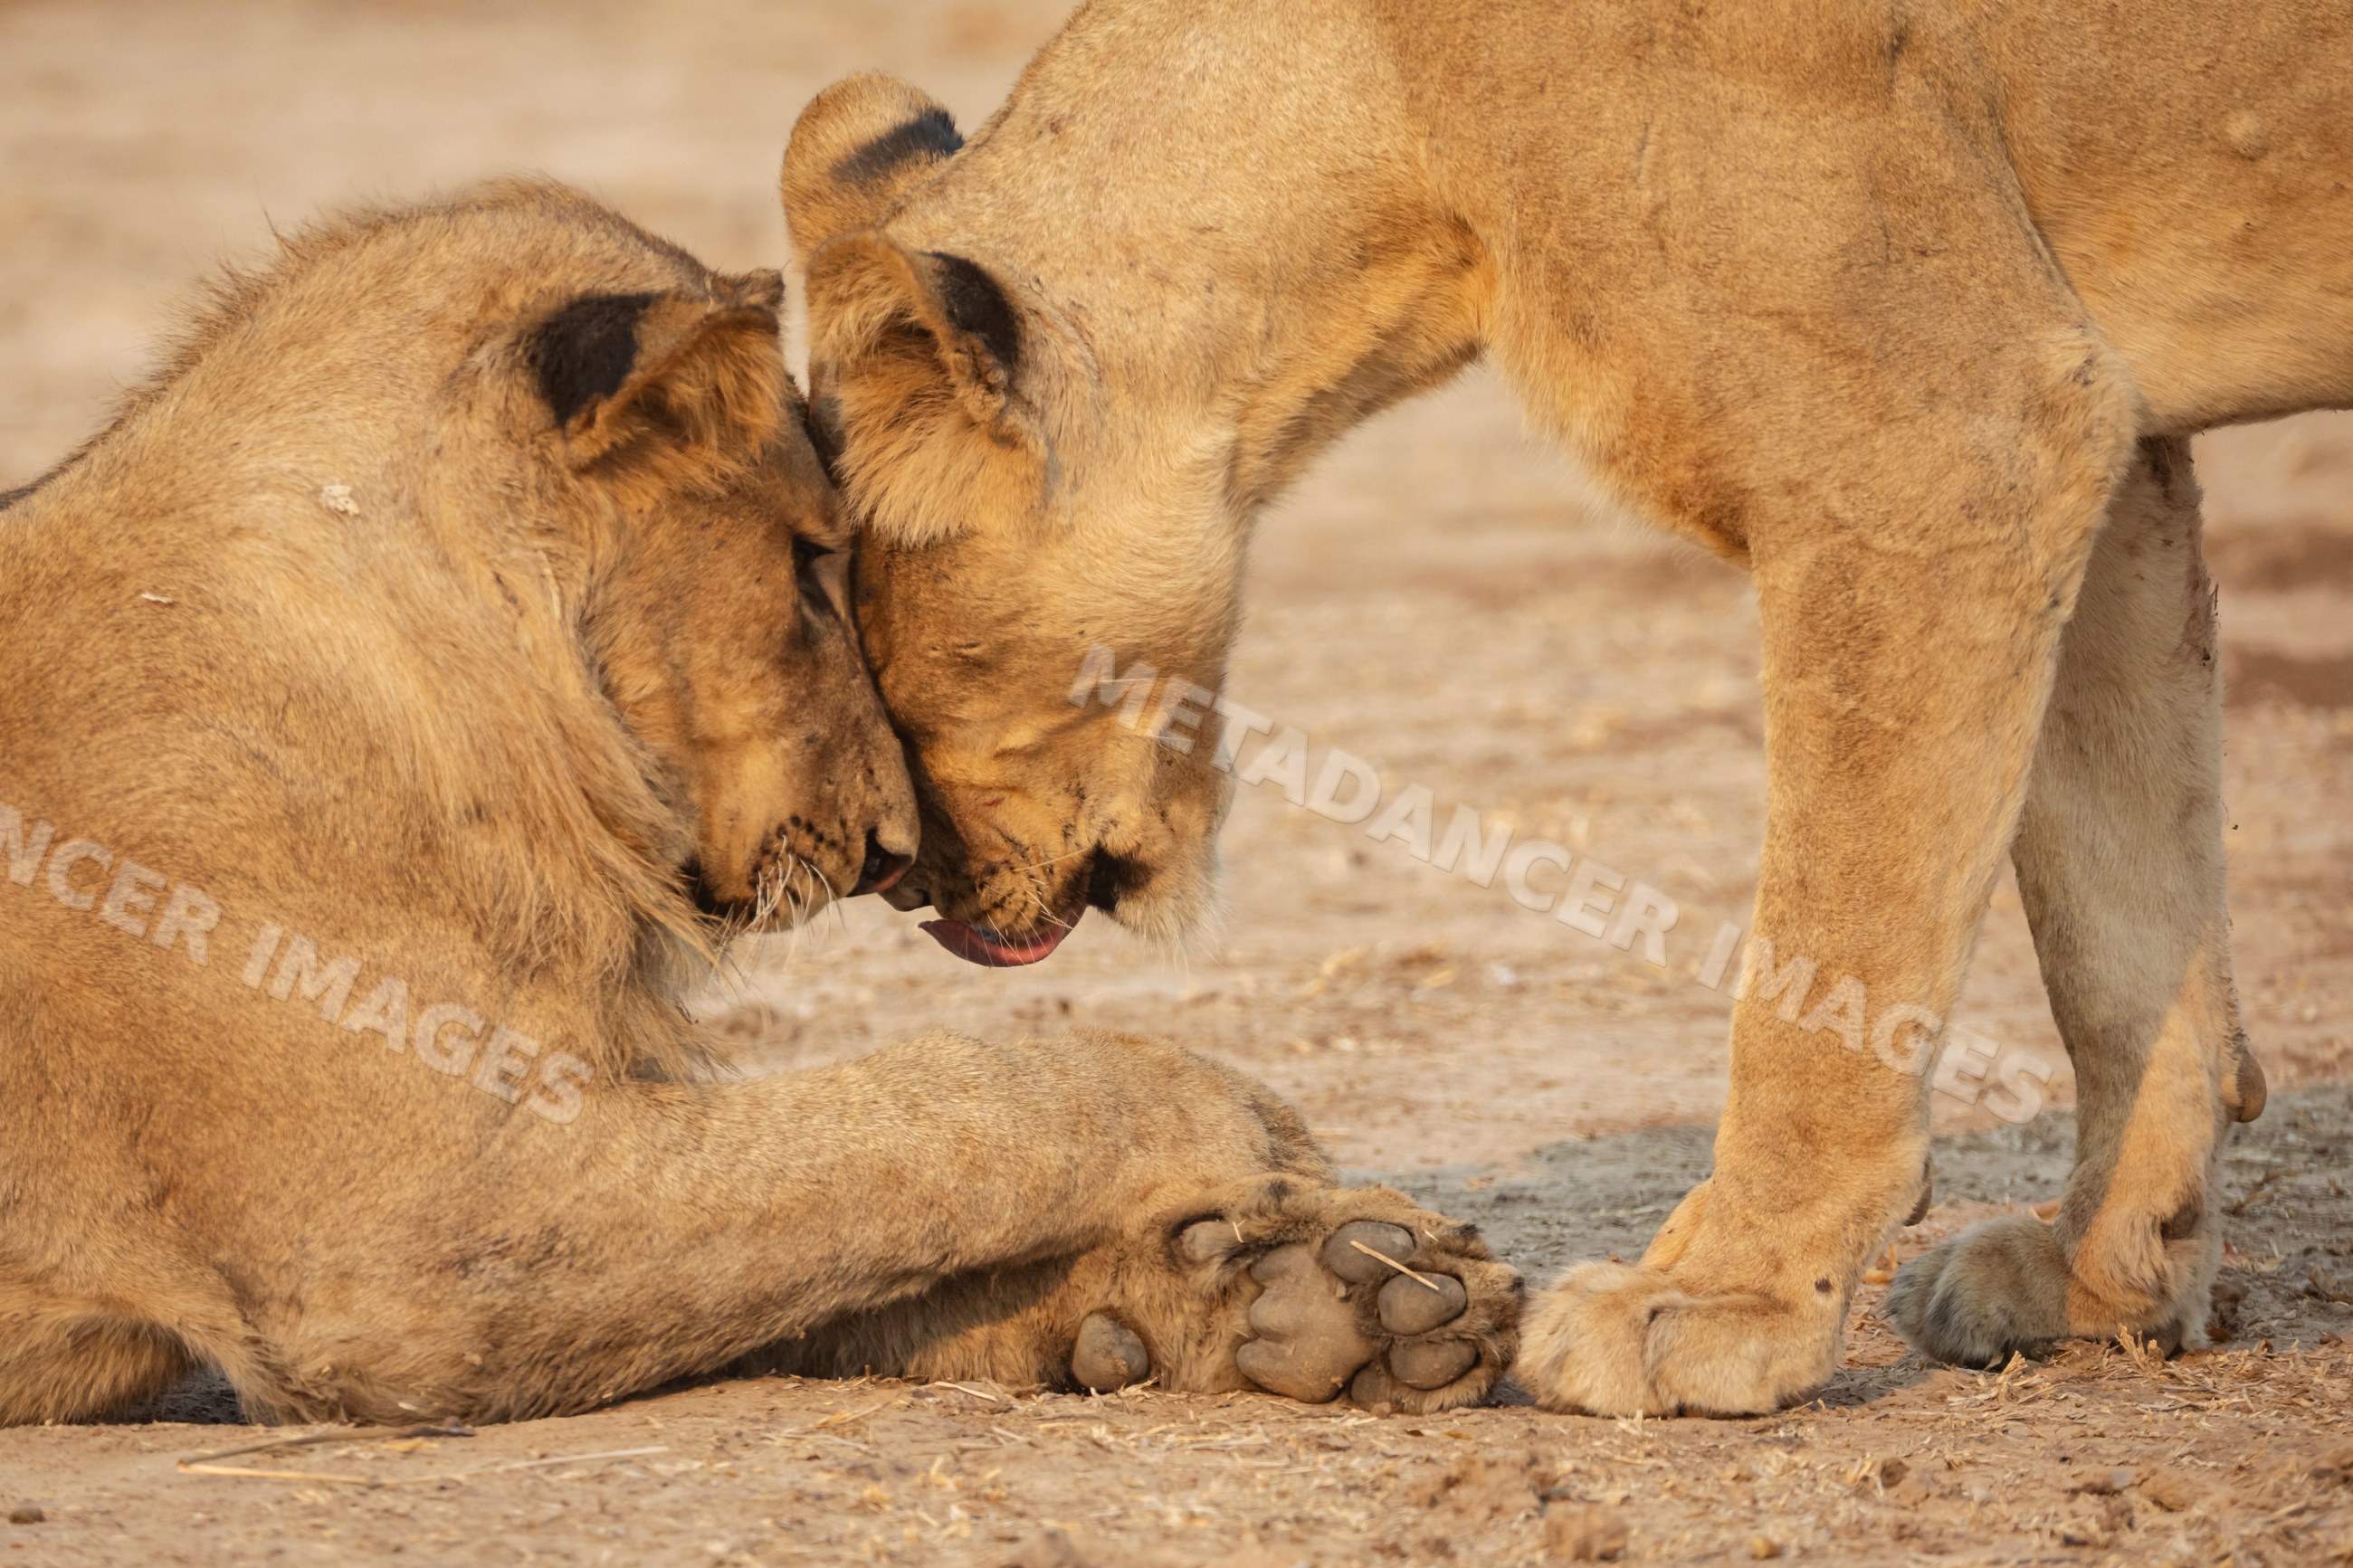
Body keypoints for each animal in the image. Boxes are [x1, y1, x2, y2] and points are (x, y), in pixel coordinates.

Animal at [0, 178, 1517, 1426]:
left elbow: (873, 1252)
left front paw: (1328, 1296)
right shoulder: (415, 1241)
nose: (899, 852)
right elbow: (947, 1112)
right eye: (804, 565)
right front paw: (1237, 1121)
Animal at [781, 0, 2340, 1415]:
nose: (905, 886)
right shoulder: (2105, 442)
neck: (1403, 131)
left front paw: (1720, 1305)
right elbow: (2120, 922)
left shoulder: (1940, 446)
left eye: (882, 666)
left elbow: (1829, 953)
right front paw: (2106, 1280)